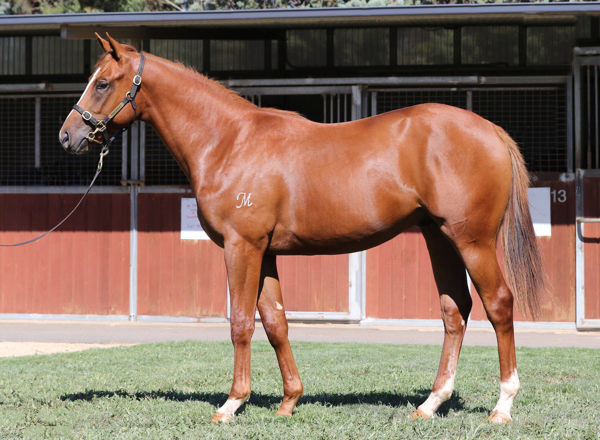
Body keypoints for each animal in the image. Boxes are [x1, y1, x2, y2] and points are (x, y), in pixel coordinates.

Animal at [59, 36, 544, 424]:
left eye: (103, 83)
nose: (68, 136)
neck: (228, 141)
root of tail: (489, 129)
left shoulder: (241, 247)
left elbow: (240, 322)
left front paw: (231, 404)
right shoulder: (266, 252)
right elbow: (276, 322)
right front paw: (289, 401)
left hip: (472, 241)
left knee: (498, 305)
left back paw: (502, 407)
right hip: (438, 236)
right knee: (454, 310)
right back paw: (430, 404)